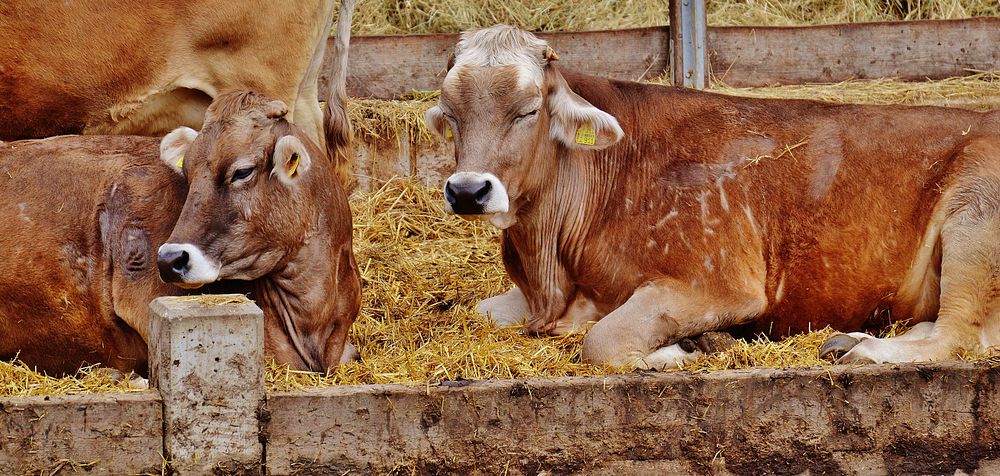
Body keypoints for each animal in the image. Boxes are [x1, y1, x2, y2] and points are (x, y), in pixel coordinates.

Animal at [428, 25, 1000, 368]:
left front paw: (680, 352)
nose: (468, 190)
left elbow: (603, 341)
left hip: (974, 218)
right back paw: (850, 340)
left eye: (528, 110)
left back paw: (859, 351)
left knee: (958, 336)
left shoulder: (719, 283)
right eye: (450, 113)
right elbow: (480, 310)